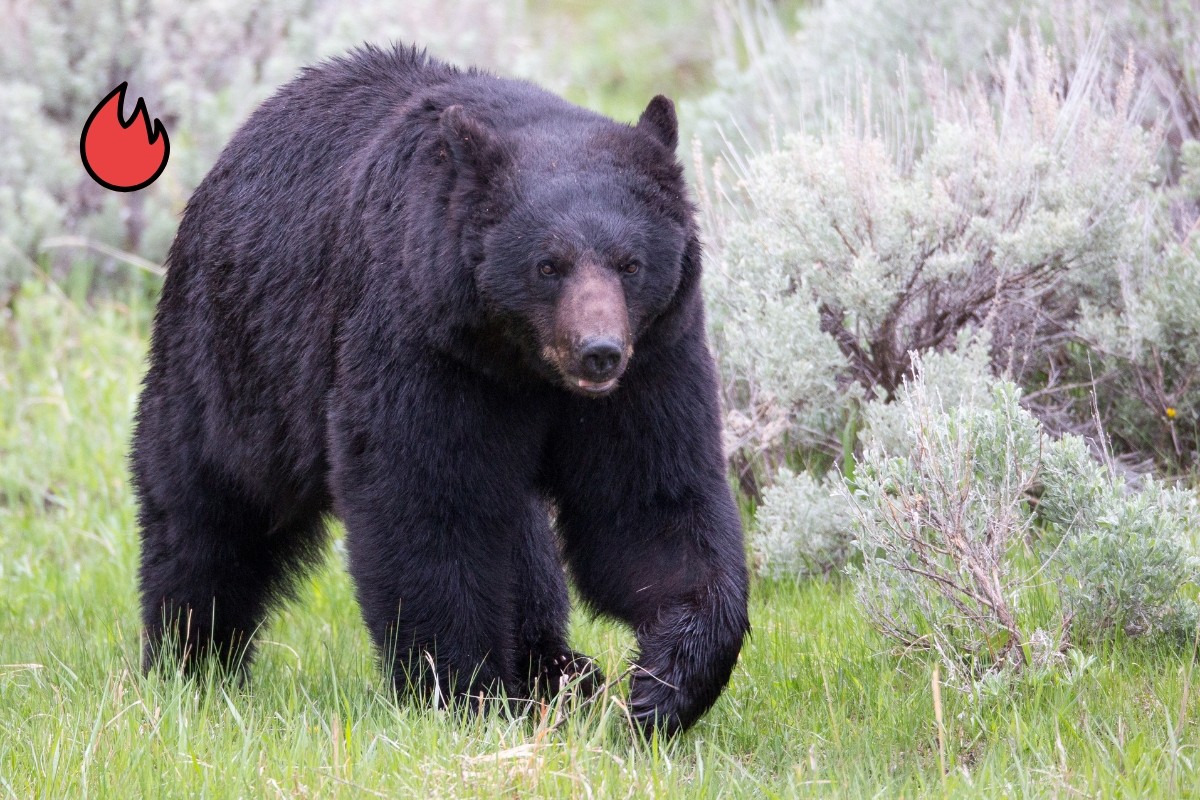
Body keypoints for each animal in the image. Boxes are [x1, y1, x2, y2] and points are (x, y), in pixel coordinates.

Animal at [133, 42, 748, 734]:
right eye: (548, 264)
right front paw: (465, 692)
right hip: (238, 357)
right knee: (209, 504)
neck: (521, 365)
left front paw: (663, 687)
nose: (598, 352)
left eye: (630, 262)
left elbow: (648, 503)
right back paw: (192, 659)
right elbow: (426, 502)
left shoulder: (655, 359)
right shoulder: (422, 342)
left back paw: (559, 669)